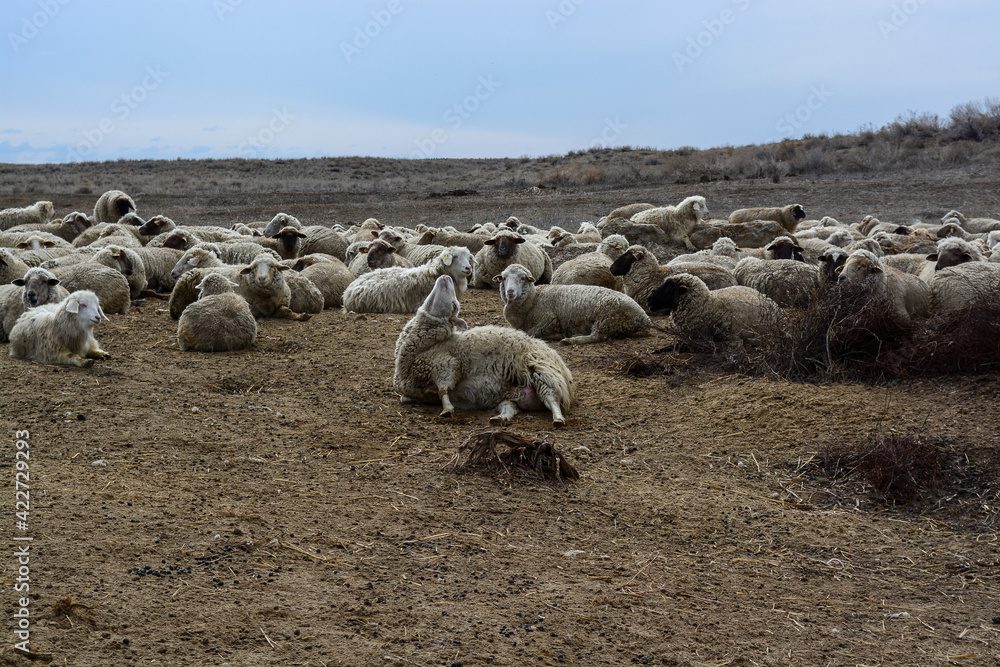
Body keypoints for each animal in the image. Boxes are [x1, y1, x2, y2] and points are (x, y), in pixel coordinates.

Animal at [393, 274, 574, 425]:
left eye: (454, 305)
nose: (446, 277)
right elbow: (404, 398)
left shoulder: (445, 364)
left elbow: (443, 390)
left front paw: (447, 409)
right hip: (512, 394)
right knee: (510, 408)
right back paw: (500, 418)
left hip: (543, 374)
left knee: (552, 399)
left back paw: (558, 419)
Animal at [494, 263, 650, 344]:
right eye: (503, 278)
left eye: (522, 278)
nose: (510, 292)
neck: (533, 299)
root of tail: (645, 319)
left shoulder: (549, 320)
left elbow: (531, 333)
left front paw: (557, 335)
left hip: (607, 315)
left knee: (598, 336)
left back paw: (571, 339)